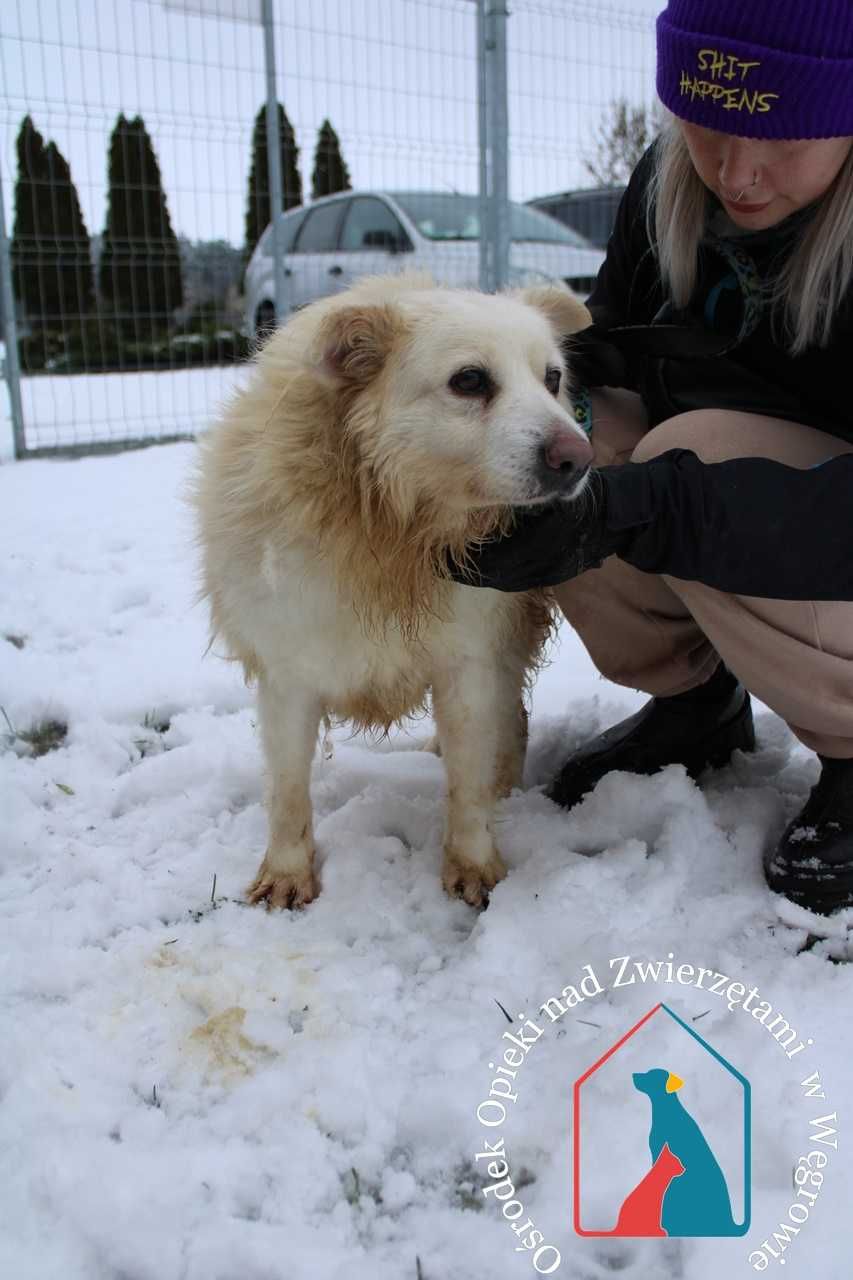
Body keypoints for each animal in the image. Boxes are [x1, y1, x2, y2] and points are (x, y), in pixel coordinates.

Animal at [190, 272, 591, 911]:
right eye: (470, 380)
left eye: (552, 379)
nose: (579, 458)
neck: (384, 523)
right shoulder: (287, 673)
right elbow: (287, 790)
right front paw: (287, 874)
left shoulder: (469, 661)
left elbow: (468, 784)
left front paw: (473, 865)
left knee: (512, 719)